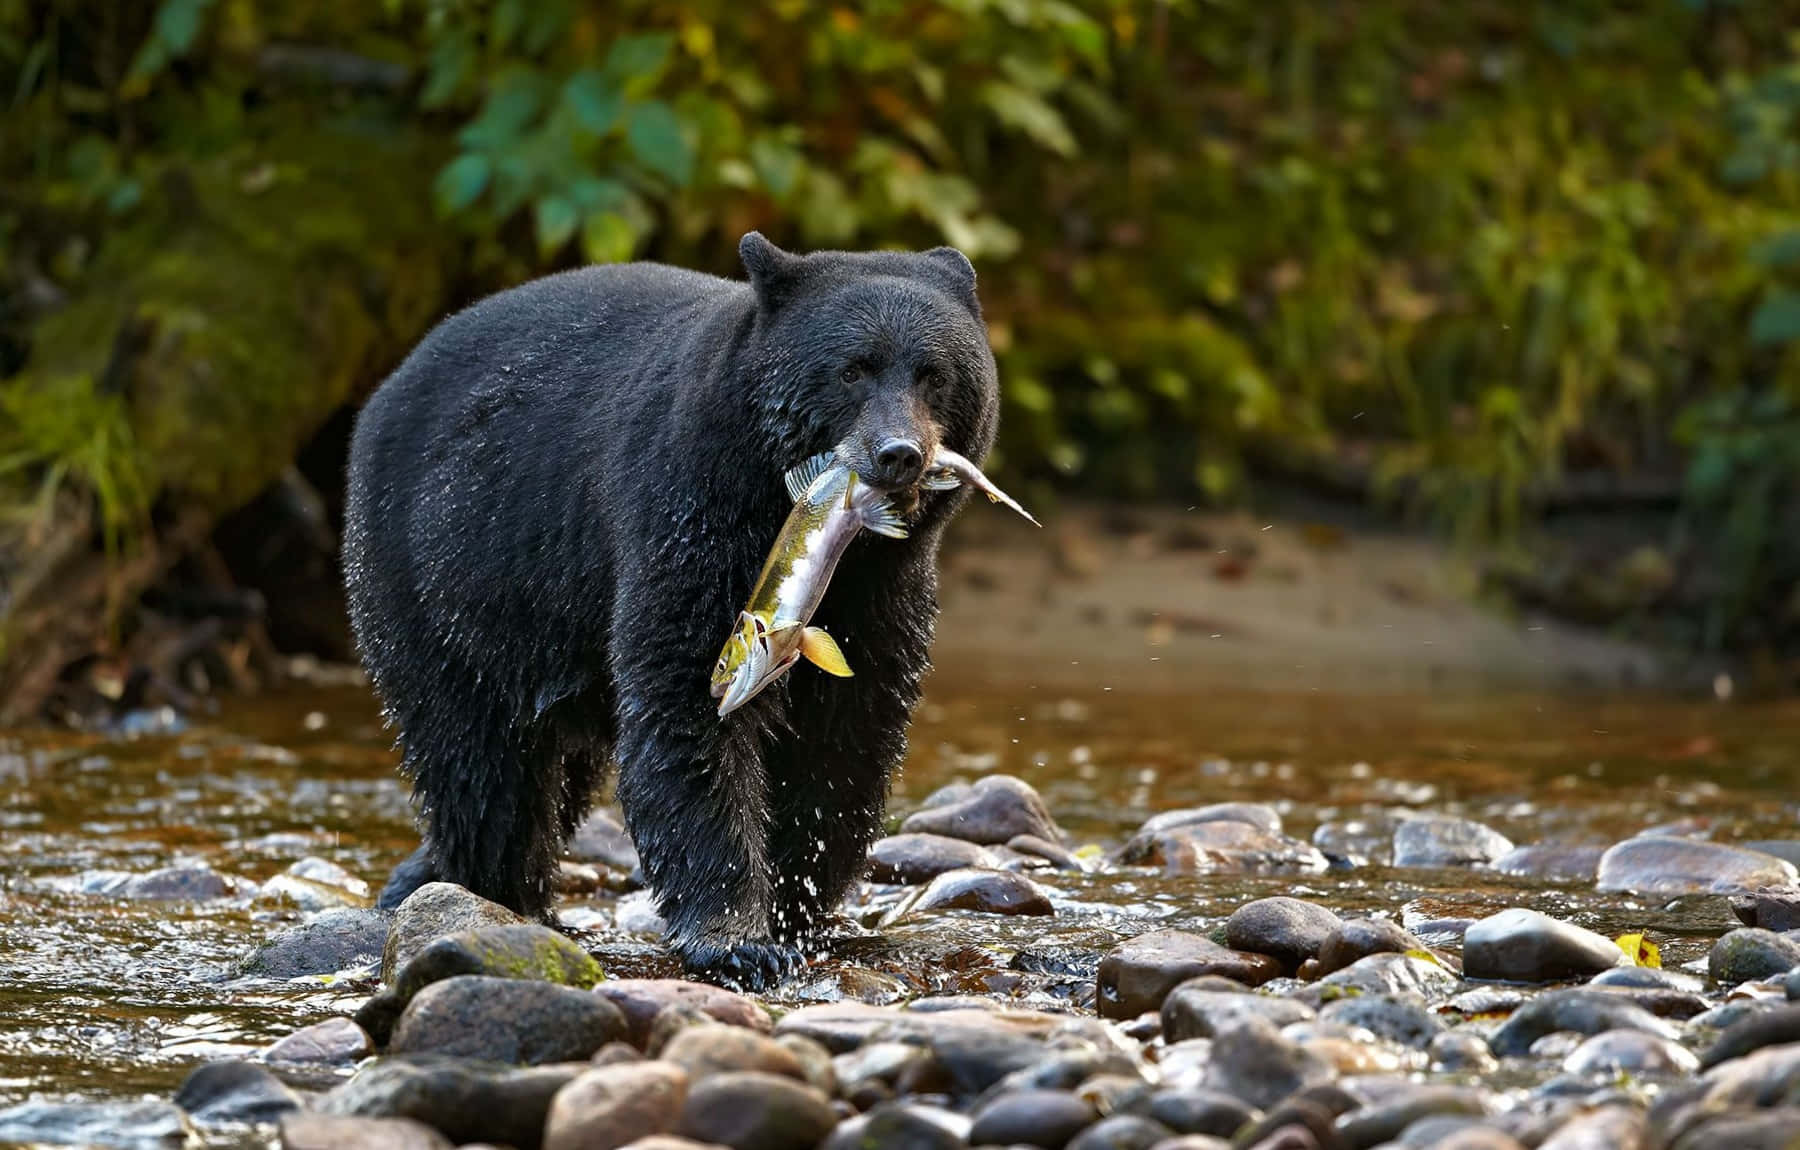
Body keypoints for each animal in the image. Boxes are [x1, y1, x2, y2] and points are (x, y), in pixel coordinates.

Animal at [343, 232, 999, 987]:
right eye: (851, 370)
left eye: (934, 374)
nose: (899, 454)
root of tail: (386, 389)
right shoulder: (690, 516)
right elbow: (685, 703)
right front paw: (739, 938)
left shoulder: (885, 592)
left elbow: (847, 731)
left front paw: (797, 906)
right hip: (437, 582)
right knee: (480, 765)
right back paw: (493, 893)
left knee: (555, 775)